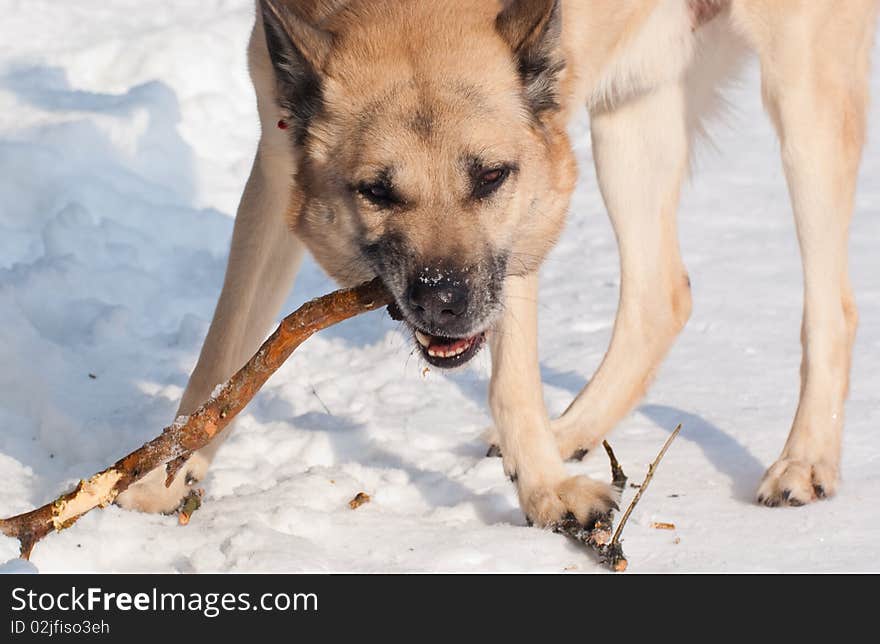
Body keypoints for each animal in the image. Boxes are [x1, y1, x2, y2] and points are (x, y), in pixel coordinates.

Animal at [118, 0, 880, 532]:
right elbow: (225, 350)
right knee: (663, 294)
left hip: (802, 99)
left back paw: (804, 460)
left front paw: (546, 494)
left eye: (488, 177)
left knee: (832, 305)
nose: (443, 301)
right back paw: (570, 429)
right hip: (631, 117)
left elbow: (512, 372)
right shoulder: (275, 167)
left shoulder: (534, 195)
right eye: (377, 191)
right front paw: (164, 474)